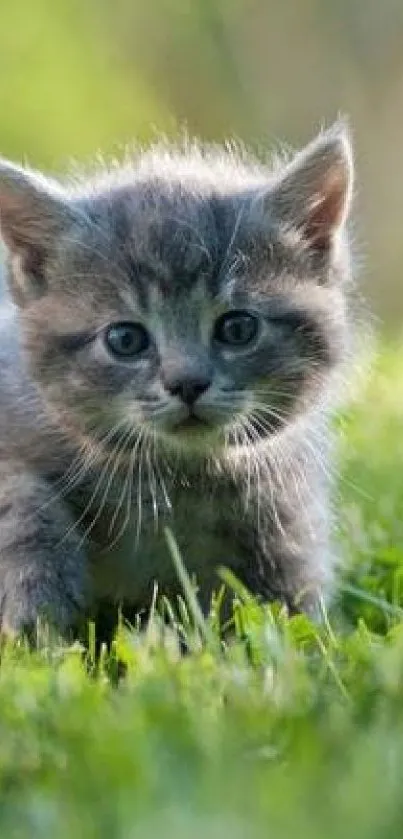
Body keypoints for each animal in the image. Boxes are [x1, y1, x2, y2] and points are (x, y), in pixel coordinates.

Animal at [0, 123, 354, 636]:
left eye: (238, 328)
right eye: (125, 339)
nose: (187, 383)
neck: (173, 478)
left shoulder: (285, 503)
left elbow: (285, 603)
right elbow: (21, 504)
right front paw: (37, 612)